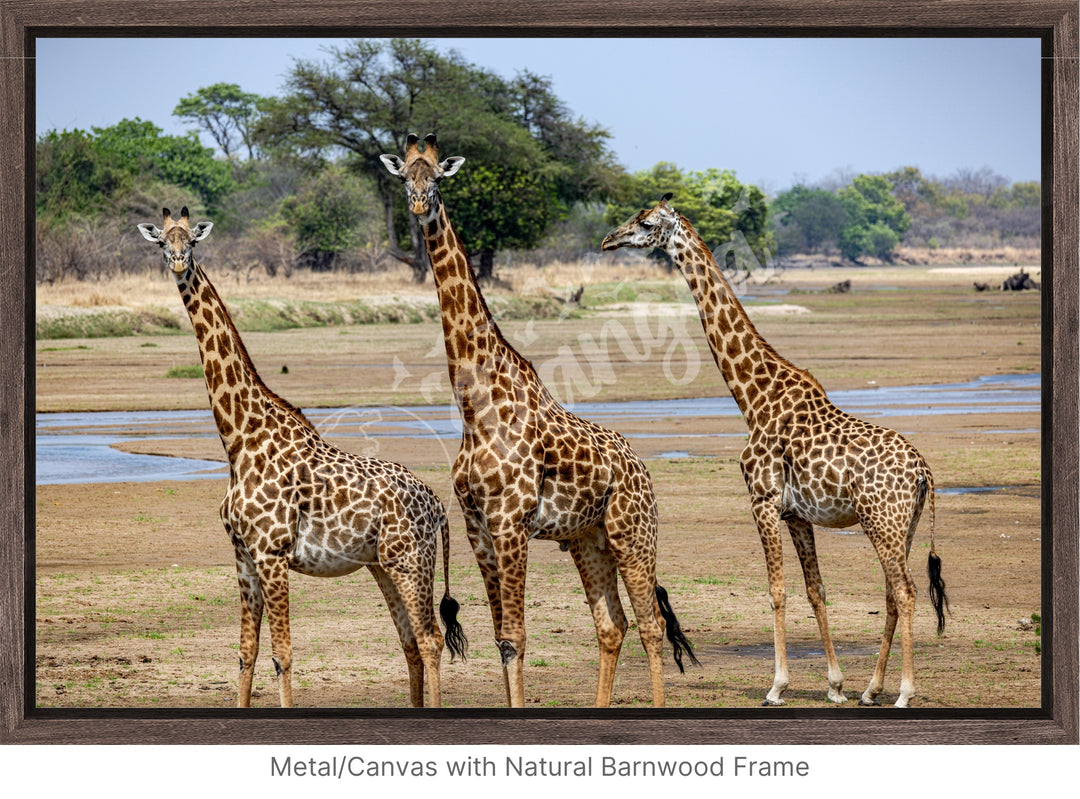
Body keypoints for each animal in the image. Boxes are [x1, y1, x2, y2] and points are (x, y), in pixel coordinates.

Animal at [136, 206, 464, 703]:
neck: (238, 439)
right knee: (408, 641)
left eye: (191, 240)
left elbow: (283, 655)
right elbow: (246, 654)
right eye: (161, 242)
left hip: (412, 562)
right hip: (382, 566)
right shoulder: (243, 555)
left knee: (429, 639)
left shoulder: (271, 554)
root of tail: (439, 506)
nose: (177, 262)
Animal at [380, 134, 699, 708]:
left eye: (436, 177)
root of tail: (641, 468)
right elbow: (502, 638)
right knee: (612, 625)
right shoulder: (478, 527)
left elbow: (517, 636)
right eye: (403, 176)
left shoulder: (512, 524)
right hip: (589, 539)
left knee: (651, 625)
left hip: (633, 533)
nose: (418, 205)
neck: (475, 407)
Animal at [604, 196, 950, 708]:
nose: (608, 240)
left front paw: (777, 685)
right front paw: (835, 685)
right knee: (892, 591)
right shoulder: (797, 515)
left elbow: (776, 590)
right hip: (901, 524)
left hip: (881, 520)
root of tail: (924, 470)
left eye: (645, 223)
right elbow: (815, 590)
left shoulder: (762, 502)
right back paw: (871, 689)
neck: (753, 399)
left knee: (905, 592)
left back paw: (905, 692)